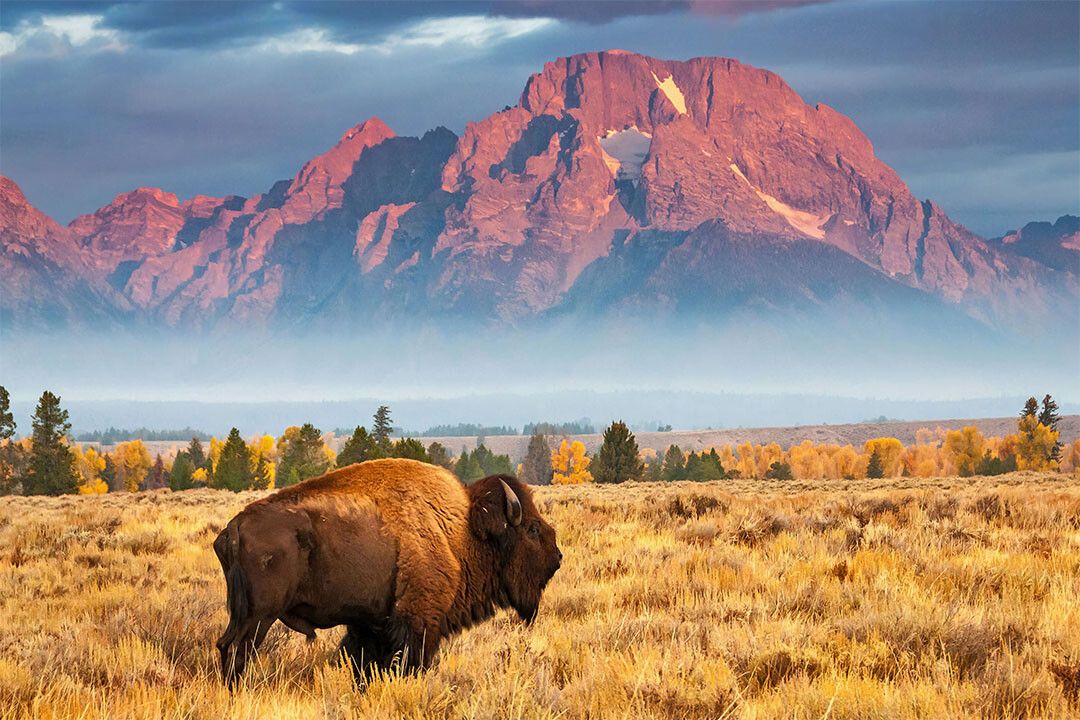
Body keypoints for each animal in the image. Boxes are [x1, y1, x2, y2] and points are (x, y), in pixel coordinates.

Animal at [213, 458, 561, 685]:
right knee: (238, 650)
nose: (557, 557)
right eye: (531, 529)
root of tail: (235, 526)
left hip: (242, 614)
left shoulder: (371, 624)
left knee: (225, 645)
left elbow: (363, 663)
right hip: (259, 616)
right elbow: (408, 663)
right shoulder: (418, 622)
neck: (462, 531)